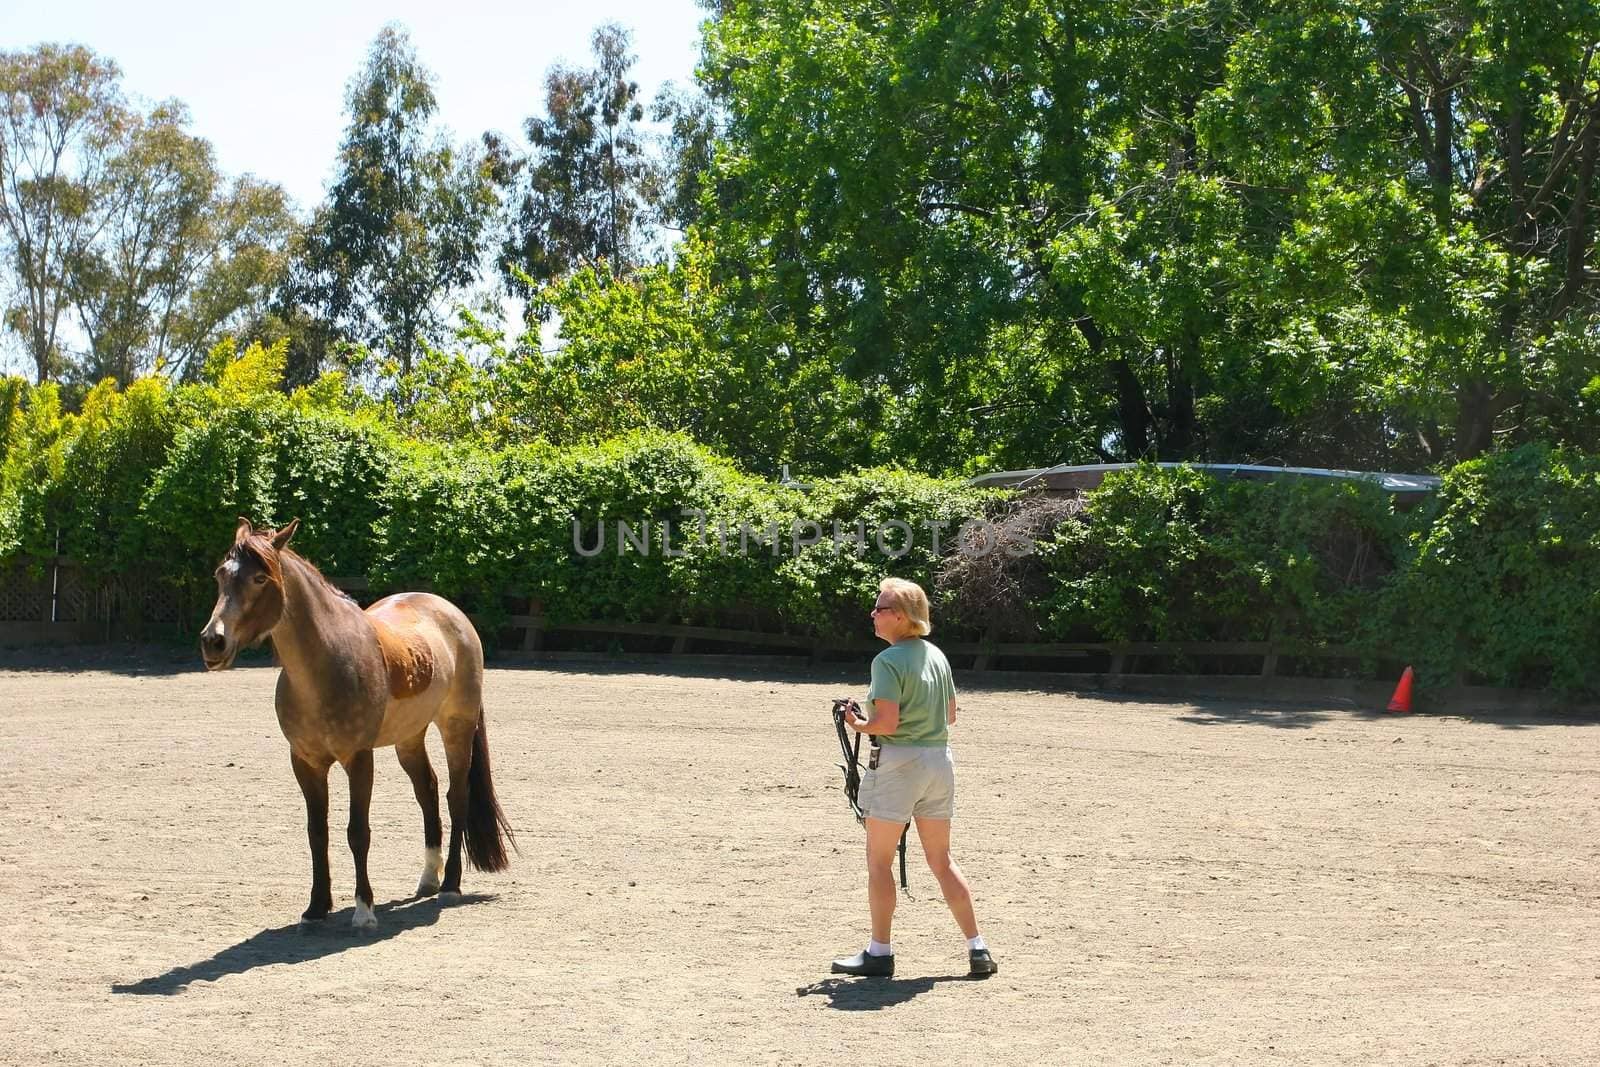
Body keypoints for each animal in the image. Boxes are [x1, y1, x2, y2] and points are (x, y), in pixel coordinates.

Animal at [198, 518, 512, 927]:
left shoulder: (359, 758)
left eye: (259, 578)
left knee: (456, 796)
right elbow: (317, 832)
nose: (212, 642)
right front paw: (316, 907)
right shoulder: (305, 762)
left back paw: (450, 886)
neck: (325, 668)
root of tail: (451, 613)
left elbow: (357, 832)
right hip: (409, 738)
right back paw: (429, 878)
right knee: (427, 790)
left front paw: (364, 910)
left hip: (456, 728)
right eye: (221, 575)